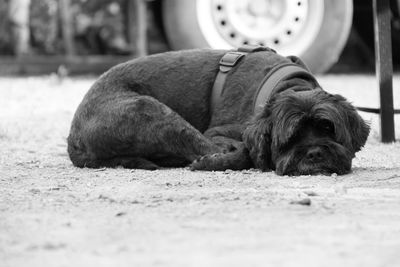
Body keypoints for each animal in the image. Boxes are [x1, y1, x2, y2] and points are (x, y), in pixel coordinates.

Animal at [67, 46, 370, 176]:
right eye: (291, 137)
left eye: (328, 128)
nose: (315, 153)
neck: (284, 85)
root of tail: (74, 138)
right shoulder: (220, 132)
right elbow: (244, 151)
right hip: (152, 111)